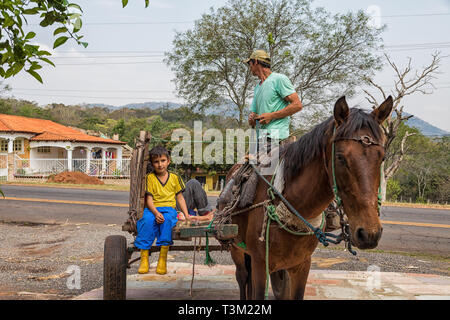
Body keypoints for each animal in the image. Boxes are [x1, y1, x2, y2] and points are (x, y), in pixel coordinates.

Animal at [225, 95, 394, 300]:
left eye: (382, 158)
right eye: (340, 157)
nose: (369, 233)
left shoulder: (302, 265)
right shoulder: (260, 264)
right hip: (235, 247)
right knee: (242, 277)